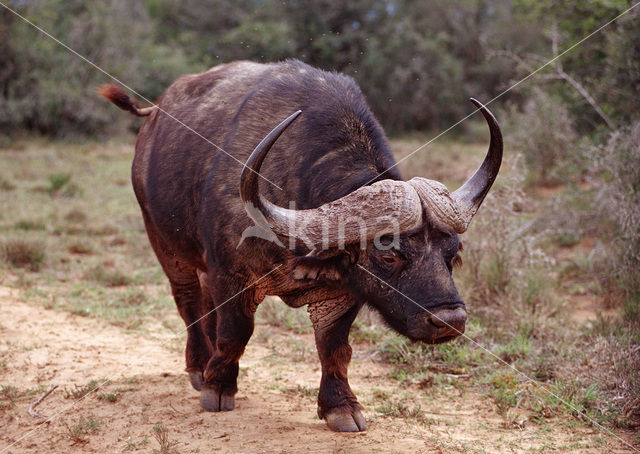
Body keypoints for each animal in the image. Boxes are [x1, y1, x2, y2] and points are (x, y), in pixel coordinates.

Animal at [100, 58, 502, 430]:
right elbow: (235, 333)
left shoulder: (340, 294)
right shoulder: (231, 275)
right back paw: (200, 366)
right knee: (187, 303)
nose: (450, 320)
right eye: (389, 255)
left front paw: (341, 407)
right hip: (166, 245)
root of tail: (154, 114)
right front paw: (218, 387)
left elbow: (334, 348)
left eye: (453, 254)